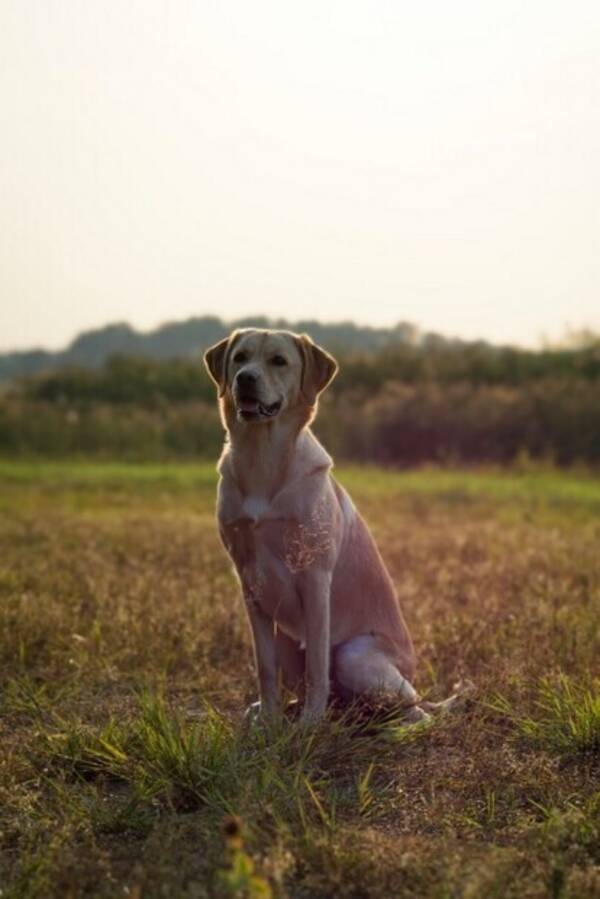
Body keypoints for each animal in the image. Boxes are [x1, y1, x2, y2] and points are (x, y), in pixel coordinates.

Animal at [206, 330, 446, 724]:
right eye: (240, 358)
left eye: (278, 361)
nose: (244, 379)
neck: (262, 460)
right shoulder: (250, 582)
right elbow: (264, 666)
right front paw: (268, 719)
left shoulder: (315, 578)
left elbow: (317, 665)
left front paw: (310, 725)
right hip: (288, 640)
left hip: (355, 656)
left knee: (414, 711)